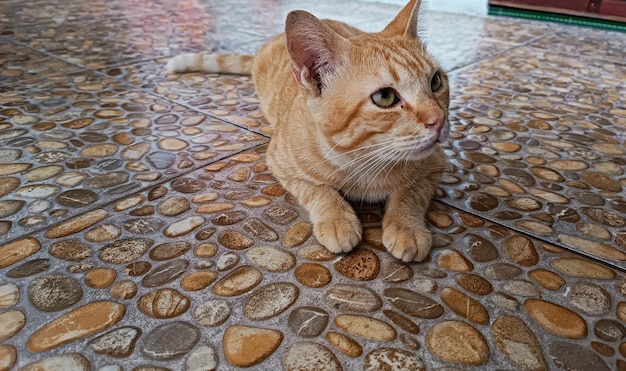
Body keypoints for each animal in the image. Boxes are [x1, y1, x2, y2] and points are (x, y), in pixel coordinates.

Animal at [168, 0, 446, 264]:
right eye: (385, 97)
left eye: (436, 81)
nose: (440, 119)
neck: (362, 159)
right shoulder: (280, 163)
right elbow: (318, 189)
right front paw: (337, 219)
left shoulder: (435, 165)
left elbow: (411, 193)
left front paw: (406, 227)